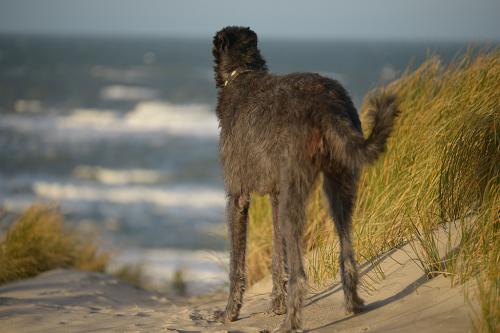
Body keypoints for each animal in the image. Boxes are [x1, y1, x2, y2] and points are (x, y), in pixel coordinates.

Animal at [211, 26, 398, 332]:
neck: (243, 74)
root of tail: (326, 104)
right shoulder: (276, 194)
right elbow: (278, 256)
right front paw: (276, 303)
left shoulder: (238, 196)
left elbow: (236, 265)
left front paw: (229, 312)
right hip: (338, 184)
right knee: (346, 251)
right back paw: (353, 304)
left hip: (298, 192)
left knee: (300, 273)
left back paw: (290, 323)